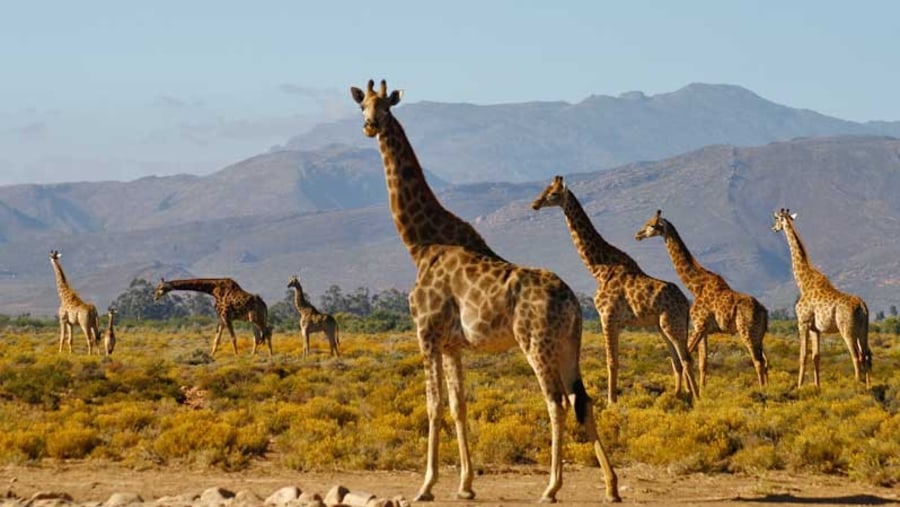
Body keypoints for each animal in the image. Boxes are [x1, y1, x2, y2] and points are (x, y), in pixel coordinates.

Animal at [352, 79, 620, 504]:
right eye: (362, 105)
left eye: (386, 107)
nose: (369, 126)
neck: (420, 243)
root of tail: (573, 304)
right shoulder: (452, 345)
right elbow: (458, 405)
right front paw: (465, 485)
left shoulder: (426, 333)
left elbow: (433, 405)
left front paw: (426, 485)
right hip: (568, 344)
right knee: (583, 400)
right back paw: (610, 486)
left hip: (536, 343)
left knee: (556, 402)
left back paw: (551, 487)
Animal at [532, 177, 700, 406]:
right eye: (545, 189)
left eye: (553, 194)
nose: (535, 204)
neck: (599, 269)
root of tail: (685, 303)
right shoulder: (616, 321)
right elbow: (615, 360)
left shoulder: (607, 316)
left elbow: (611, 360)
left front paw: (612, 401)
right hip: (661, 326)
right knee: (676, 360)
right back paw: (678, 396)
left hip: (672, 324)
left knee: (686, 358)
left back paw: (698, 399)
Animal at [632, 210, 768, 388]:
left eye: (651, 225)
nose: (637, 234)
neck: (696, 286)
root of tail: (765, 312)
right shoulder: (704, 329)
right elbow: (703, 363)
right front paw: (702, 390)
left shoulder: (698, 325)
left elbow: (687, 356)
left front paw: (690, 389)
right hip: (759, 334)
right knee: (765, 360)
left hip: (746, 331)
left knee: (757, 361)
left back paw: (763, 390)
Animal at [768, 208, 872, 386]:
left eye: (777, 219)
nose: (773, 228)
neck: (803, 283)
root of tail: (862, 306)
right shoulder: (815, 328)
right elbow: (816, 357)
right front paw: (817, 386)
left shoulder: (802, 322)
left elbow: (803, 356)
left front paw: (799, 386)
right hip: (863, 330)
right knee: (866, 355)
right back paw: (868, 386)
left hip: (847, 329)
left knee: (856, 356)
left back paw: (857, 384)